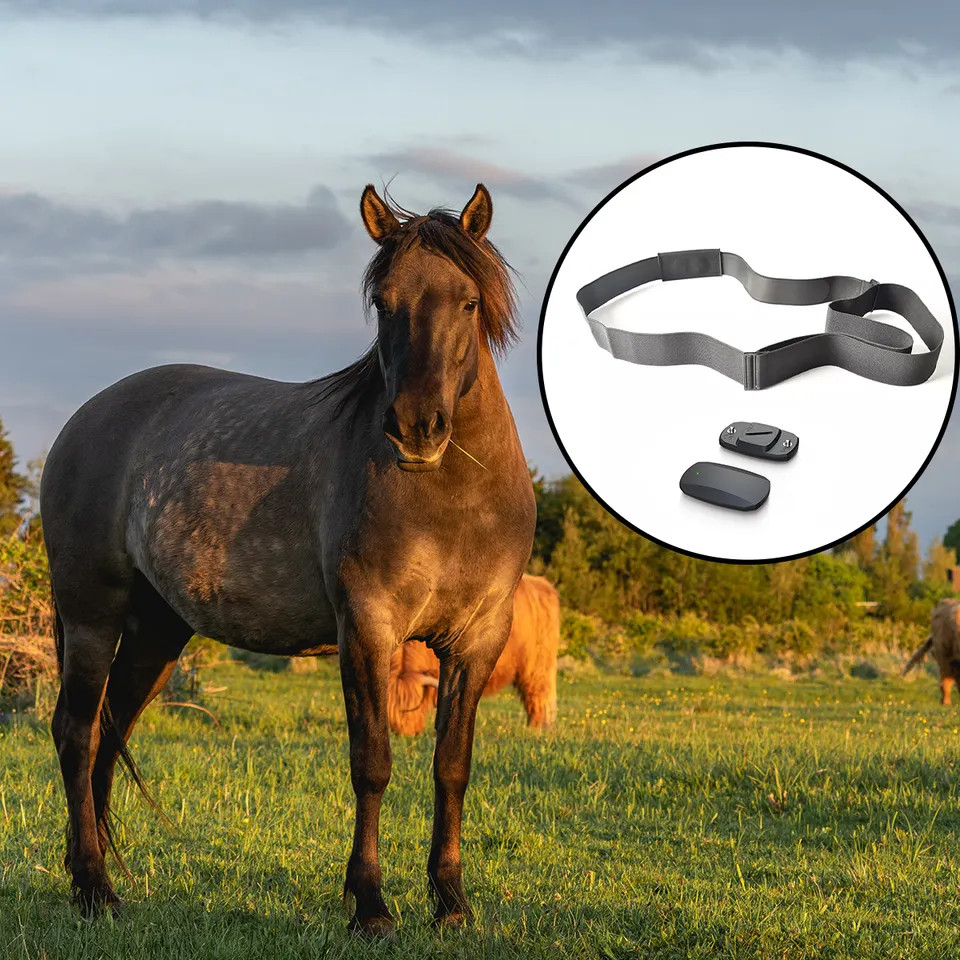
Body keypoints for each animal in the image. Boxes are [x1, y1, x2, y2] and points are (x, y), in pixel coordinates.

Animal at [40, 182, 537, 936]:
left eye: (469, 302)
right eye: (384, 302)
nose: (416, 428)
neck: (454, 498)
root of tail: (86, 418)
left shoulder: (477, 640)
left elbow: (452, 767)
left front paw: (451, 902)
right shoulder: (369, 629)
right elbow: (372, 763)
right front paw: (370, 905)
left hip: (156, 633)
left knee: (107, 731)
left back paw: (92, 883)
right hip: (92, 616)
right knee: (75, 734)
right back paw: (96, 890)